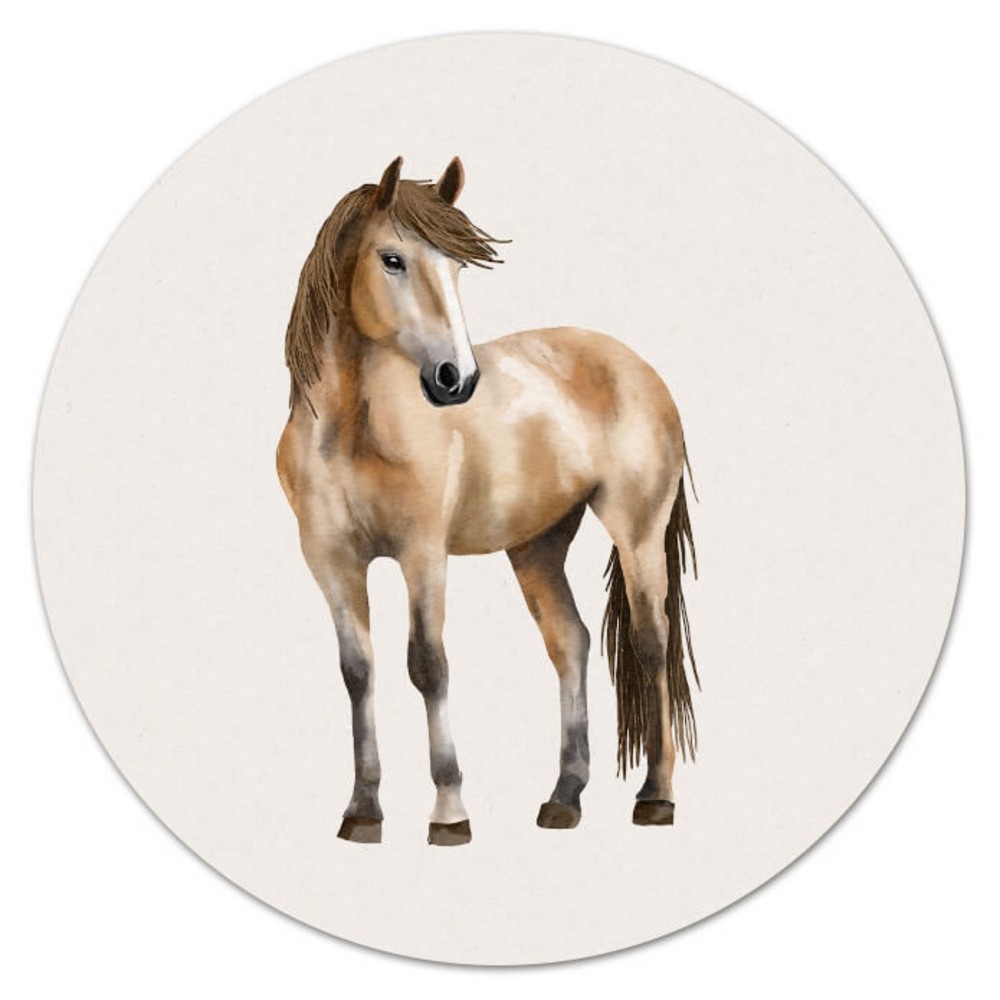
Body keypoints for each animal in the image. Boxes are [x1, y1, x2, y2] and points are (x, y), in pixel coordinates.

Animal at [276, 156, 698, 846]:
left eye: (457, 269)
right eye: (392, 259)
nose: (457, 379)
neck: (351, 431)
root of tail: (638, 368)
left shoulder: (422, 553)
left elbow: (427, 664)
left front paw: (450, 812)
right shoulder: (330, 560)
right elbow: (357, 671)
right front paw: (363, 811)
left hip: (637, 533)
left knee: (649, 643)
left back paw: (655, 797)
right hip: (537, 546)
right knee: (570, 641)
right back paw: (564, 798)